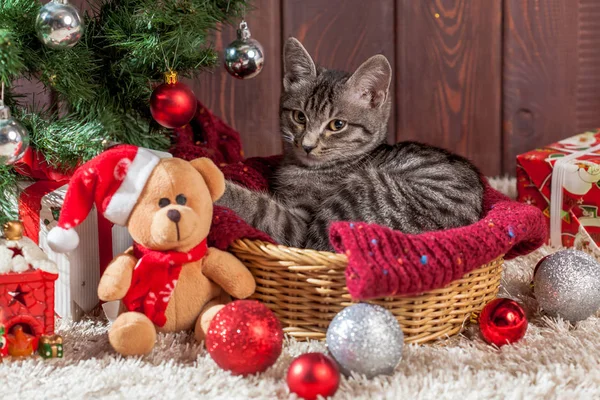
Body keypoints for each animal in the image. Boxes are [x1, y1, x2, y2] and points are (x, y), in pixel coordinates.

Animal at [216, 37, 482, 250]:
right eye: (300, 117)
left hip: (360, 192)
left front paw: (215, 182)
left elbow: (261, 208)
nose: (307, 145)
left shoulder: (299, 229)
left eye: (337, 125)